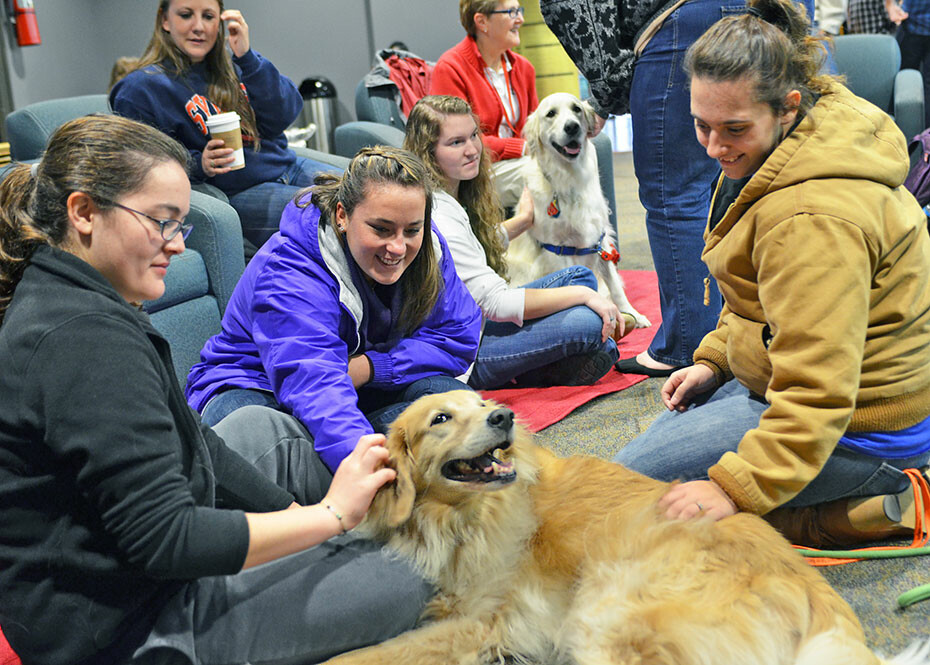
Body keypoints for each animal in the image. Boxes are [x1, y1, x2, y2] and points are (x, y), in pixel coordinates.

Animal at [320, 390, 928, 664]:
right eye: (442, 418)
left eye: (481, 404)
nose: (505, 416)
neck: (464, 515)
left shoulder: (484, 620)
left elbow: (368, 654)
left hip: (605, 616)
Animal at [504, 94, 648, 330]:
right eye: (550, 114)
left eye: (576, 109)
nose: (572, 127)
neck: (570, 178)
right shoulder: (558, 249)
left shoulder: (600, 241)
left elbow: (616, 288)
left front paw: (633, 314)